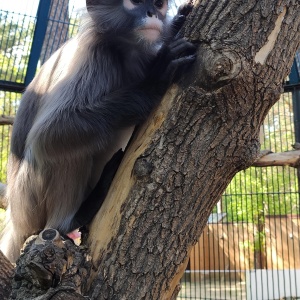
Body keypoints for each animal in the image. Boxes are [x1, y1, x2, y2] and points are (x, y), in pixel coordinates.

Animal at [0, 0, 196, 262]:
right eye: (135, 2)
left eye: (158, 4)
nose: (152, 13)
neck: (124, 51)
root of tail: (15, 221)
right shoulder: (93, 55)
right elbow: (49, 134)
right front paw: (154, 80)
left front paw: (177, 22)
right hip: (28, 200)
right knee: (57, 152)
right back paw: (74, 217)